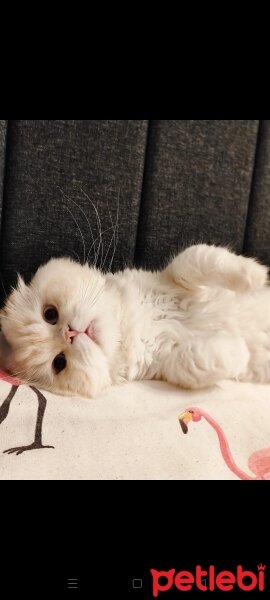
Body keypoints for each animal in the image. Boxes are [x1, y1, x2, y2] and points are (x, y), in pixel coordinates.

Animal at [0, 244, 270, 398]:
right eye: (59, 363)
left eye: (50, 314)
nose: (70, 333)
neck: (137, 321)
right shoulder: (168, 367)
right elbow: (195, 360)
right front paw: (239, 349)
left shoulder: (173, 277)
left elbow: (194, 258)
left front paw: (254, 275)